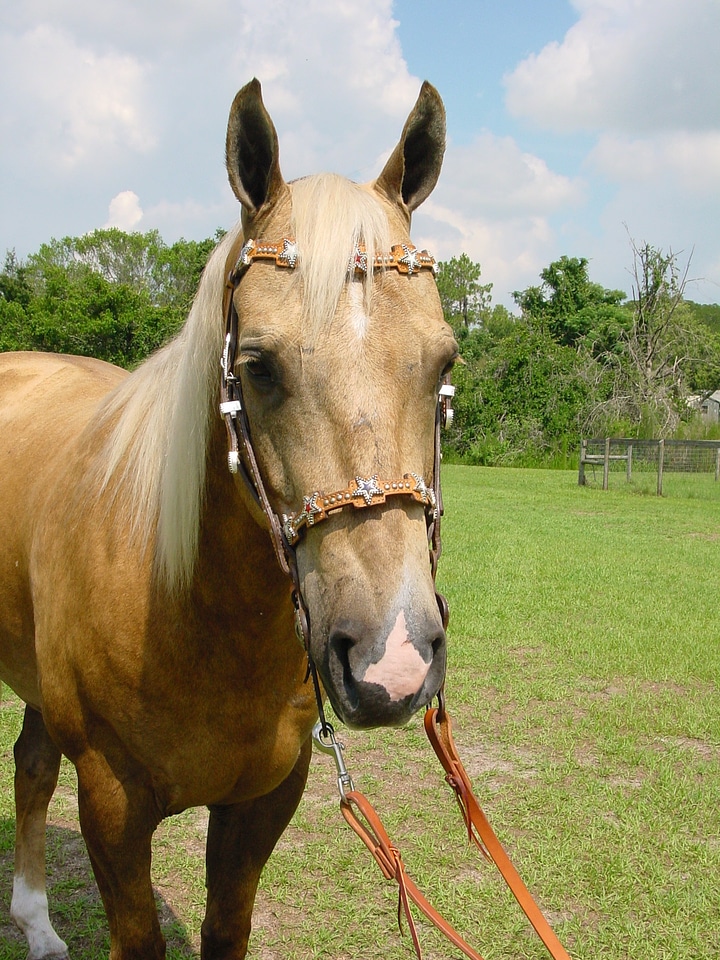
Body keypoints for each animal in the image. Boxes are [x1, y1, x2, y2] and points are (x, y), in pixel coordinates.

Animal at [0, 79, 458, 956]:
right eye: (258, 366)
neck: (193, 612)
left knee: (32, 764)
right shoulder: (111, 804)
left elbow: (227, 926)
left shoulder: (264, 799)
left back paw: (37, 925)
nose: (391, 661)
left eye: (445, 362)